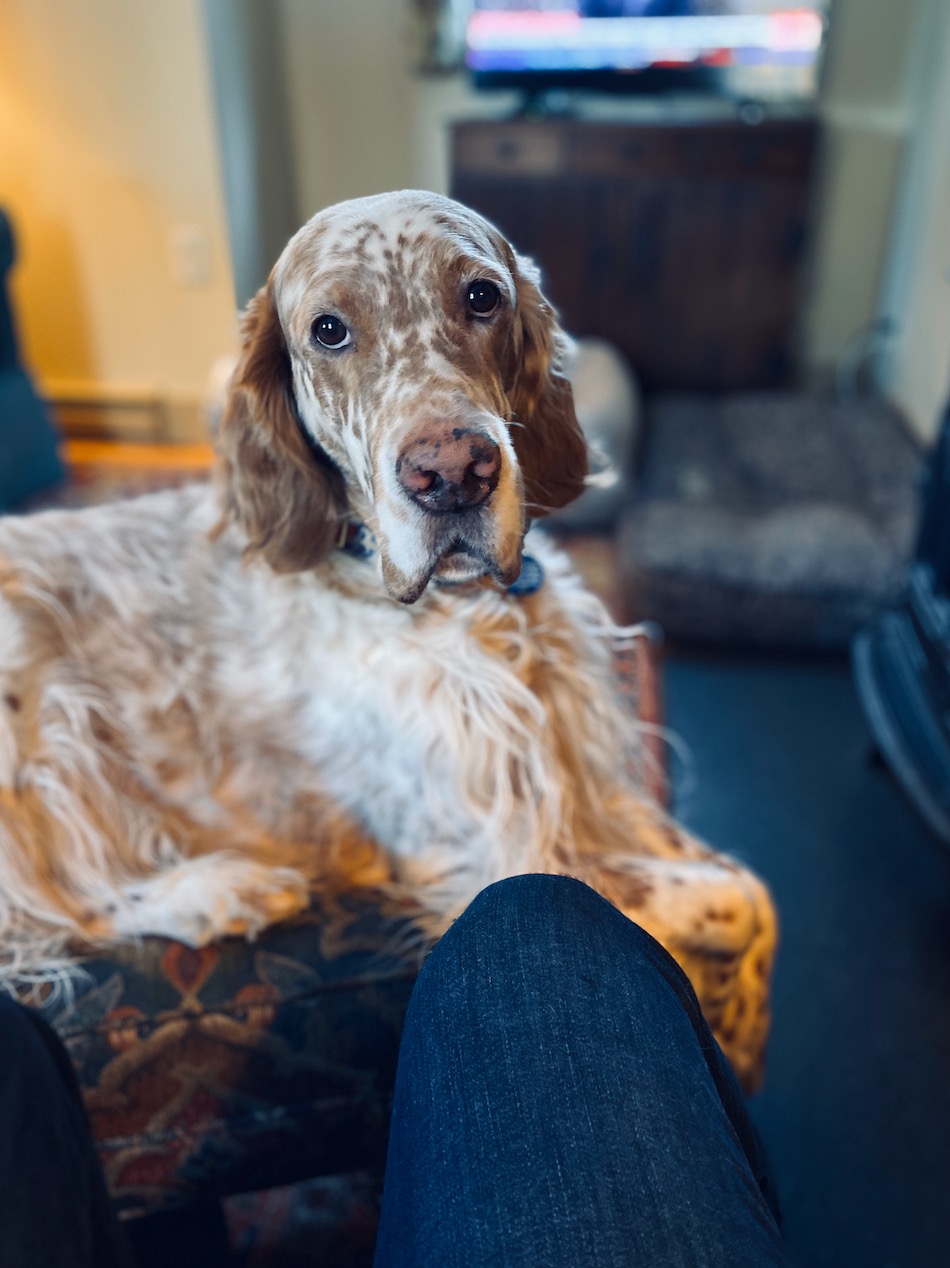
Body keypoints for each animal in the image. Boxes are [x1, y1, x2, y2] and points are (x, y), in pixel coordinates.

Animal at [0, 192, 771, 1085]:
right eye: (329, 330)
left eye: (482, 296)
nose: (454, 473)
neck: (470, 611)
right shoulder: (503, 854)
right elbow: (724, 901)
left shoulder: (585, 779)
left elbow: (747, 890)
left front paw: (743, 1032)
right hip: (43, 718)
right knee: (59, 903)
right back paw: (218, 893)